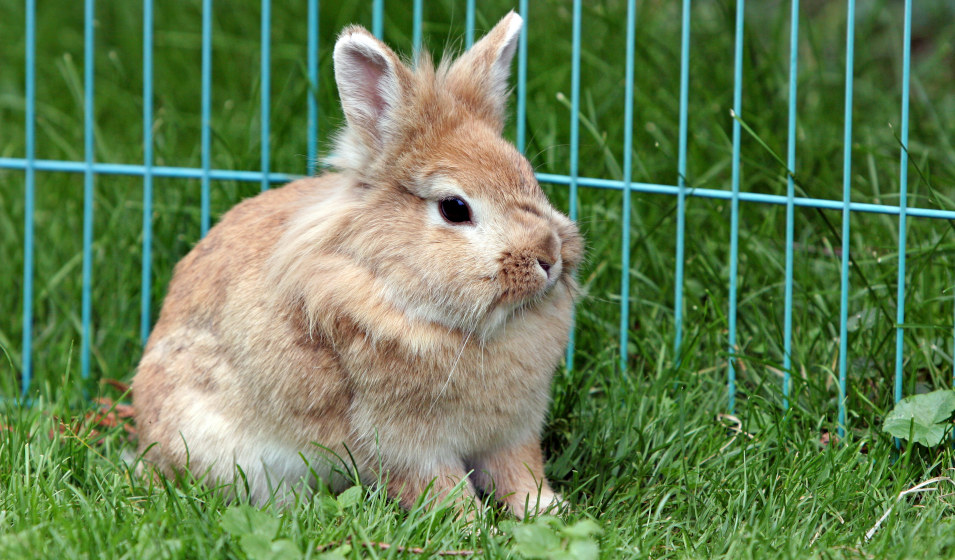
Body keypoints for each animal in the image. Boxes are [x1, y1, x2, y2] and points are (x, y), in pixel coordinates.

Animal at [132, 11, 583, 519]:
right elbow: (442, 490)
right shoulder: (405, 444)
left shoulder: (512, 434)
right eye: (454, 208)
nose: (549, 257)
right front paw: (472, 526)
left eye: (529, 176)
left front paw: (549, 512)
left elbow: (520, 475)